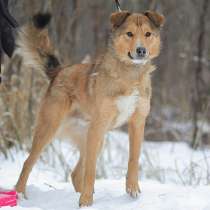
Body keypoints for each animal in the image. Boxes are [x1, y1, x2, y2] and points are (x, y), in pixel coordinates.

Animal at [15, 10, 165, 207]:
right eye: (129, 34)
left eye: (148, 34)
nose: (141, 50)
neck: (130, 74)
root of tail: (59, 72)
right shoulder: (100, 125)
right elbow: (91, 171)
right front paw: (86, 200)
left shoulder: (137, 123)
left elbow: (133, 159)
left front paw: (132, 188)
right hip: (51, 130)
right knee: (28, 163)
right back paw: (19, 194)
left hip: (93, 138)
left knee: (75, 173)